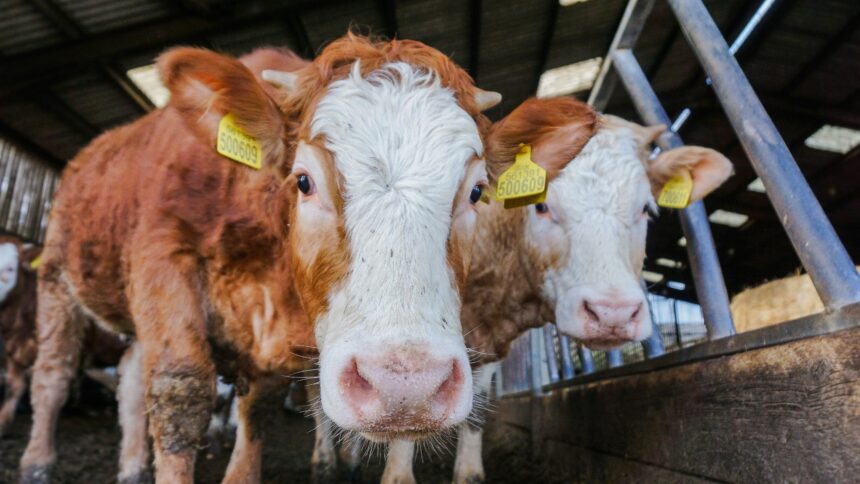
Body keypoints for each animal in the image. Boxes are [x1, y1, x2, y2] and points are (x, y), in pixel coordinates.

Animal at [20, 33, 501, 484]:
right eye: (303, 181)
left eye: (476, 191)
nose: (406, 386)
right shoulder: (164, 255)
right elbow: (180, 393)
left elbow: (257, 407)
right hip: (57, 274)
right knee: (53, 374)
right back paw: (38, 462)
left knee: (131, 380)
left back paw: (133, 466)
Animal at [381, 97, 734, 484]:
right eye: (541, 204)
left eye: (646, 209)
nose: (613, 313)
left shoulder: (487, 349)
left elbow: (477, 412)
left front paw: (470, 473)